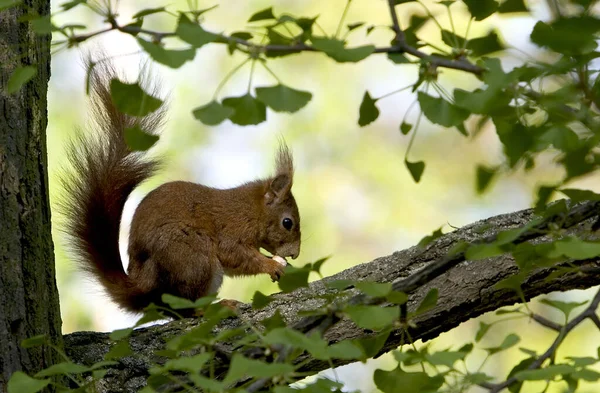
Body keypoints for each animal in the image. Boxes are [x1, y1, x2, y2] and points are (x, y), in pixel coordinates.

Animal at [62, 61, 300, 312]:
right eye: (287, 223)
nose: (295, 254)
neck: (252, 210)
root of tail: (143, 284)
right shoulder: (232, 229)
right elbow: (235, 255)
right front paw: (272, 265)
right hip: (193, 257)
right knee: (188, 307)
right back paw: (218, 306)